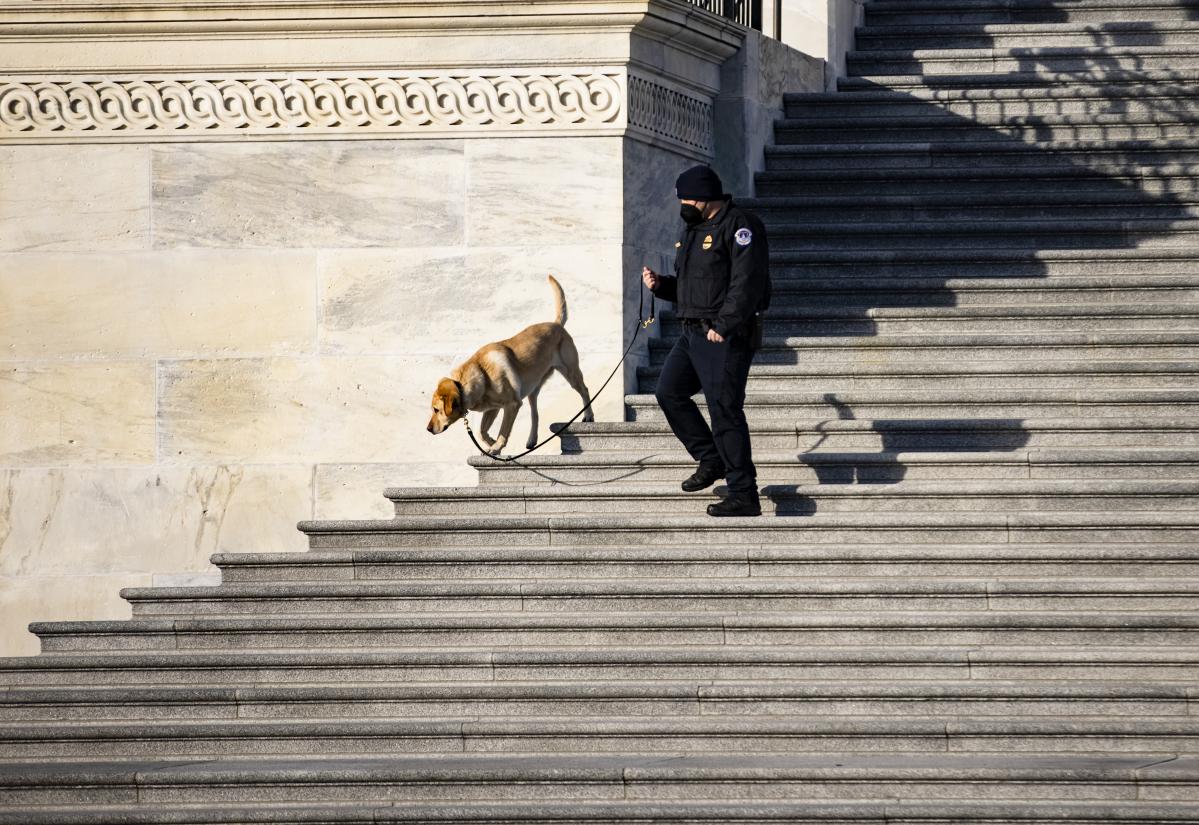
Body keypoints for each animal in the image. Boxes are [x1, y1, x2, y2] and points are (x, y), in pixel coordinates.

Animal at [429, 273, 592, 453]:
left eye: (436, 410)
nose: (428, 429)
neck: (480, 375)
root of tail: (556, 324)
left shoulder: (511, 405)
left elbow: (503, 431)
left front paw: (496, 447)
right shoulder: (493, 408)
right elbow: (481, 432)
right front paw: (491, 443)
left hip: (571, 372)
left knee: (584, 390)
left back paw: (589, 416)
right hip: (532, 390)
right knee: (535, 414)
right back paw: (531, 440)